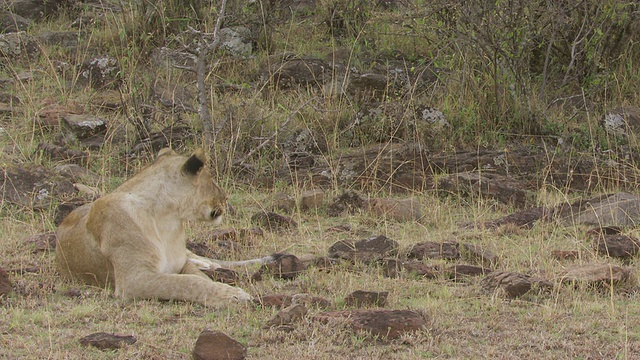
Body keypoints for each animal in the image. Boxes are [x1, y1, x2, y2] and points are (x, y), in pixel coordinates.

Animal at [55, 148, 272, 308]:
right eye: (211, 179)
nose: (225, 198)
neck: (166, 219)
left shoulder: (181, 263)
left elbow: (200, 278)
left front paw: (225, 287)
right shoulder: (134, 280)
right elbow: (186, 283)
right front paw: (233, 295)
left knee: (199, 258)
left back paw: (212, 265)